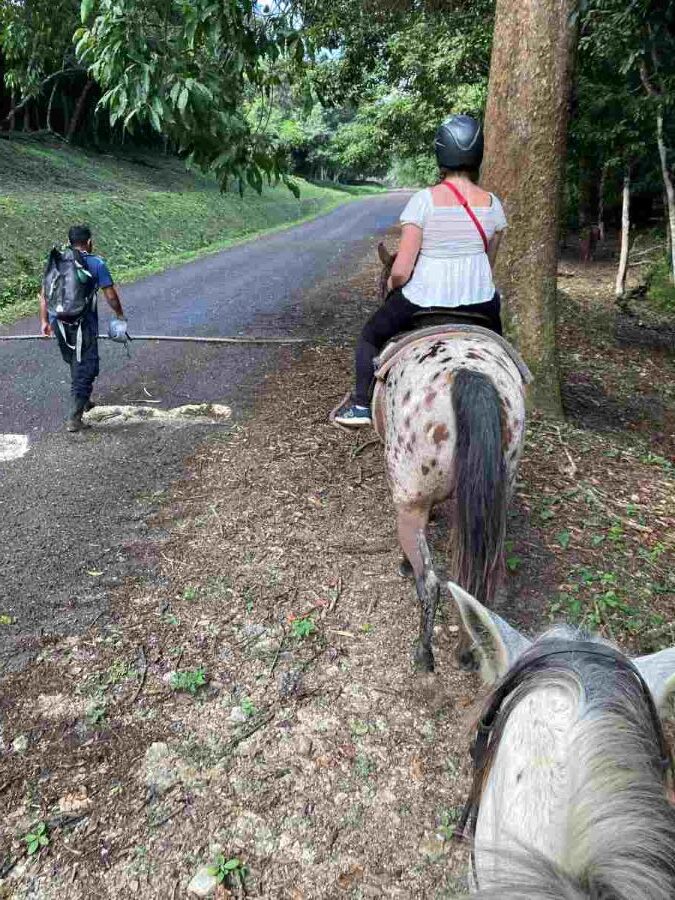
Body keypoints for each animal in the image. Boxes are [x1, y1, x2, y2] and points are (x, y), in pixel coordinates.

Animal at [372, 243, 532, 672]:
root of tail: (469, 374)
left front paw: (403, 563)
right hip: (497, 494)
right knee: (481, 578)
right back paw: (467, 651)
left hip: (408, 496)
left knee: (431, 582)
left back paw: (424, 652)